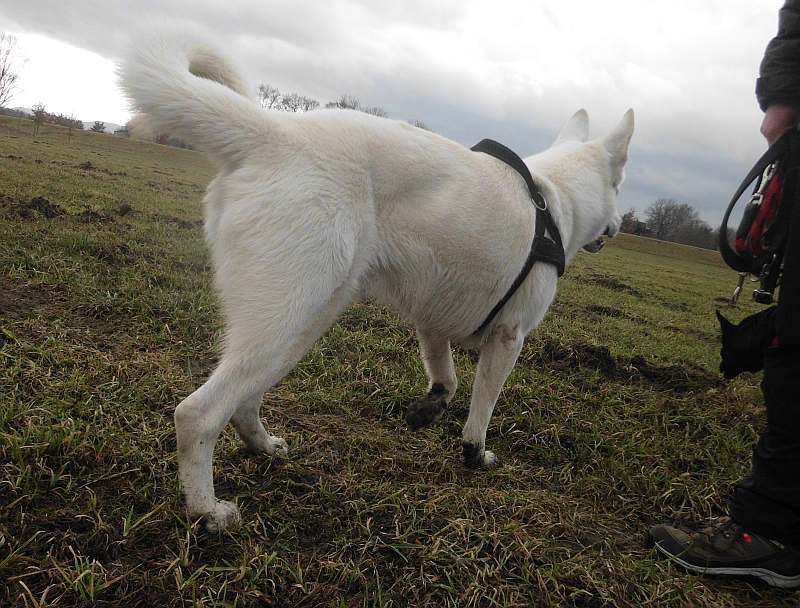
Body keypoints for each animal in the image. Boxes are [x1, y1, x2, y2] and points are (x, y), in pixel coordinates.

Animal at [119, 35, 636, 528]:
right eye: (620, 184)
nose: (618, 226)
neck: (554, 200)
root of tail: (272, 131)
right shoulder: (510, 338)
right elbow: (480, 411)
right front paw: (475, 455)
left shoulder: (432, 319)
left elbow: (446, 379)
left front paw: (428, 409)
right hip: (283, 322)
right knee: (197, 414)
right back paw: (207, 511)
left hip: (303, 322)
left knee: (244, 401)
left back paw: (263, 447)